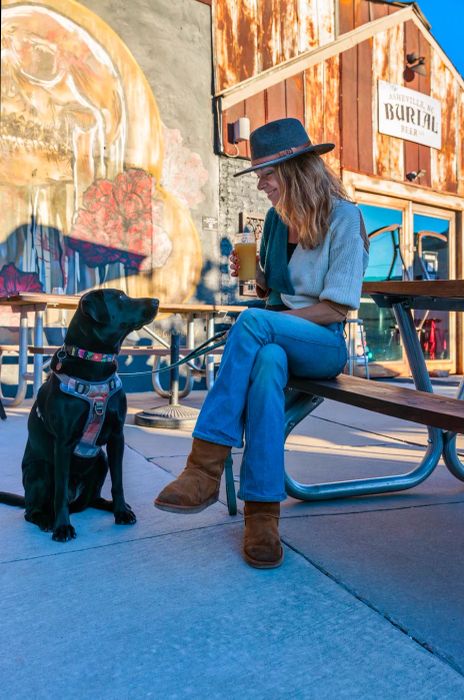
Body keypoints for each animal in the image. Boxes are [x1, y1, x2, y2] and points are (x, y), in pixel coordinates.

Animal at [0, 288, 159, 540]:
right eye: (120, 298)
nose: (156, 301)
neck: (95, 364)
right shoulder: (64, 442)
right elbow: (60, 492)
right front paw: (62, 527)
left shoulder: (117, 436)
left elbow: (118, 481)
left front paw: (121, 512)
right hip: (40, 471)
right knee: (32, 510)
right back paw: (47, 520)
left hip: (101, 461)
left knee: (91, 500)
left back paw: (111, 506)